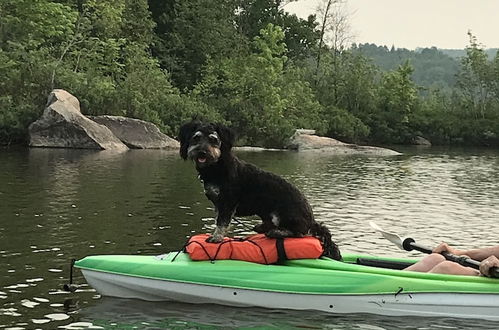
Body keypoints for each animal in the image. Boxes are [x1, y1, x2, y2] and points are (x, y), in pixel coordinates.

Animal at [180, 120, 344, 260]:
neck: (216, 168)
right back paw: (262, 227)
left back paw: (276, 231)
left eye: (213, 139)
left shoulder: (228, 202)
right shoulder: (218, 205)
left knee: (298, 233)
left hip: (282, 214)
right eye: (196, 138)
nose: (202, 152)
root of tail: (312, 220)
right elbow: (217, 220)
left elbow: (222, 223)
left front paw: (216, 238)